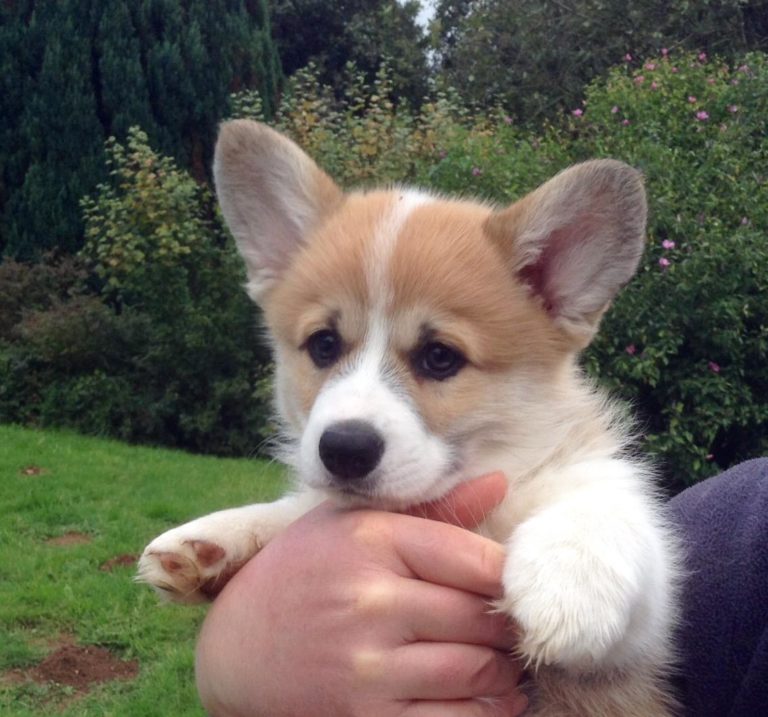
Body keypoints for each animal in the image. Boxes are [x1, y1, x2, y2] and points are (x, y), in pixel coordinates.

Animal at [138, 120, 680, 712]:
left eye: (440, 356)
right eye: (324, 345)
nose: (344, 449)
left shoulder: (637, 636)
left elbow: (602, 513)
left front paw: (568, 586)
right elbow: (298, 511)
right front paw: (212, 538)